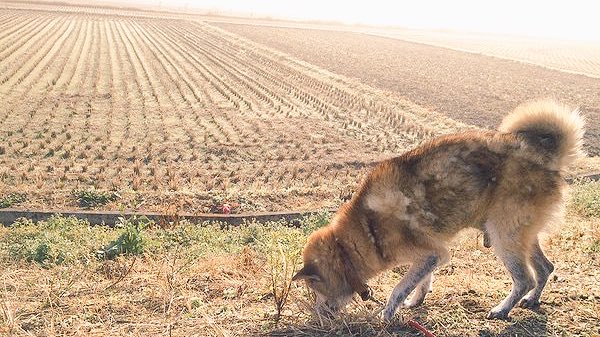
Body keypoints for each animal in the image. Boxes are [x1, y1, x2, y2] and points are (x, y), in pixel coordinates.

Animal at [292, 98, 584, 318]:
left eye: (314, 290)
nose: (317, 316)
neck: (365, 231)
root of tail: (547, 158)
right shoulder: (431, 256)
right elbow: (421, 282)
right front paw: (415, 302)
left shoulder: (431, 254)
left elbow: (399, 288)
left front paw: (387, 314)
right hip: (521, 236)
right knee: (545, 268)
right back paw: (532, 300)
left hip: (504, 236)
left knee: (525, 279)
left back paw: (502, 310)